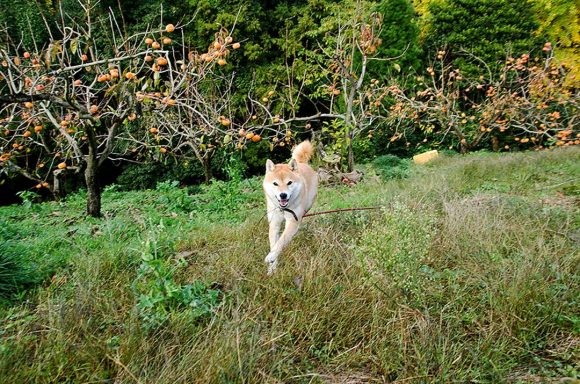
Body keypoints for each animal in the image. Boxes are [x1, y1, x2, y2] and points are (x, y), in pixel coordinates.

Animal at [262, 141, 318, 276]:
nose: (283, 195)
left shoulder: (292, 221)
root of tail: (302, 163)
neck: (283, 209)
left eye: (289, 183)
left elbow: (281, 242)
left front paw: (271, 257)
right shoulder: (274, 223)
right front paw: (272, 268)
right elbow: (274, 244)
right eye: (275, 183)